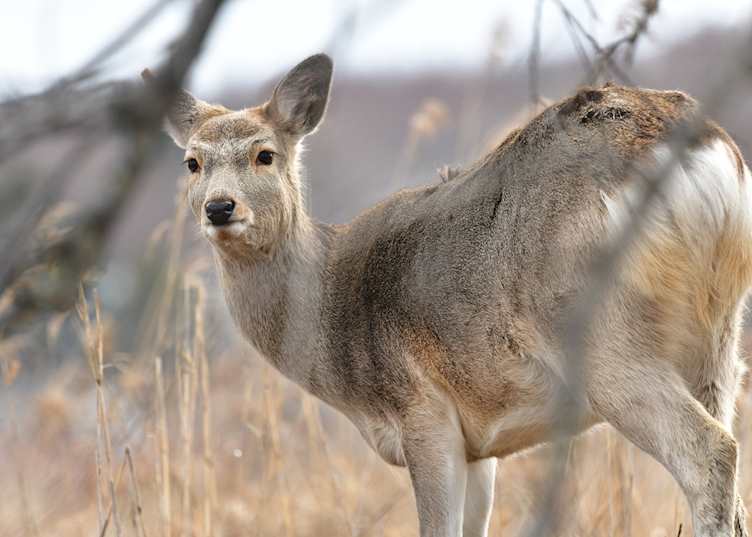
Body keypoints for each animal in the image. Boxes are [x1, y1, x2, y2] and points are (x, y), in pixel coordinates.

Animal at [153, 53, 751, 537]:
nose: (220, 207)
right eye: (192, 162)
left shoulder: (423, 411)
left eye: (265, 154)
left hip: (598, 330)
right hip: (717, 339)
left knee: (711, 451)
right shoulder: (480, 445)